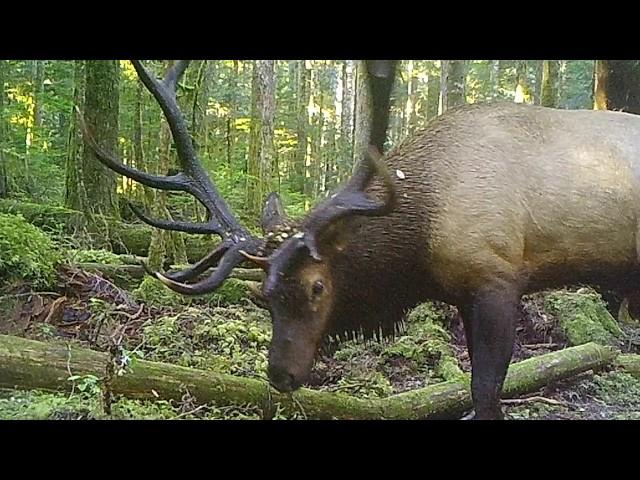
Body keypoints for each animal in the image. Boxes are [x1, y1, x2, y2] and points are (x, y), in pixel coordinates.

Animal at [82, 60, 640, 420]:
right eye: (263, 295)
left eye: (317, 287)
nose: (280, 375)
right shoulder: (463, 293)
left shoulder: (498, 278)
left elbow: (485, 393)